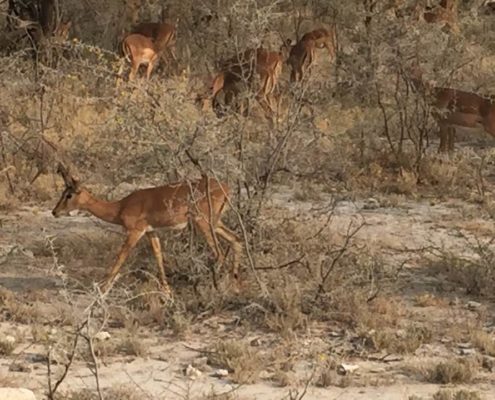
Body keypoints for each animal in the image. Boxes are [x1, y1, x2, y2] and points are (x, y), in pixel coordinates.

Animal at [51, 163, 242, 296]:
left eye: (69, 194)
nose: (54, 212)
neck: (120, 207)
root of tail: (226, 188)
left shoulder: (135, 231)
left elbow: (121, 256)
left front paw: (102, 289)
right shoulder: (151, 232)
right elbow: (158, 255)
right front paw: (167, 292)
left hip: (203, 223)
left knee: (219, 253)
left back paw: (217, 288)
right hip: (215, 223)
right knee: (236, 239)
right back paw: (234, 286)